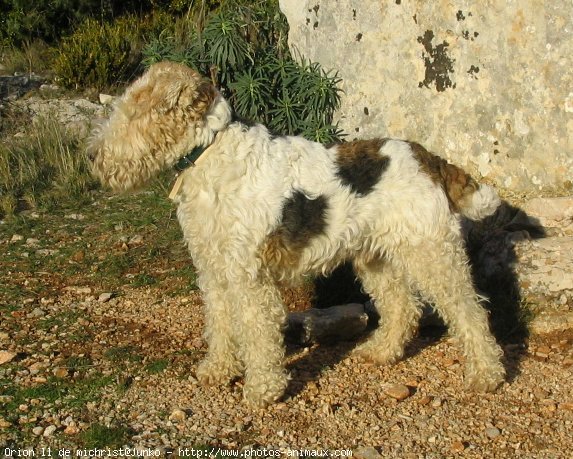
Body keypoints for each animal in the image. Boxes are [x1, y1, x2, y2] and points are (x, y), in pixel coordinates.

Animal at [89, 62, 504, 410]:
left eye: (135, 109)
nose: (93, 157)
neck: (210, 152)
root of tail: (428, 158)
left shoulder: (248, 278)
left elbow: (257, 333)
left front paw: (262, 390)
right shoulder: (213, 269)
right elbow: (219, 324)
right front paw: (217, 370)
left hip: (433, 254)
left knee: (471, 312)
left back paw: (487, 375)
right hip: (377, 258)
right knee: (403, 307)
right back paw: (381, 352)